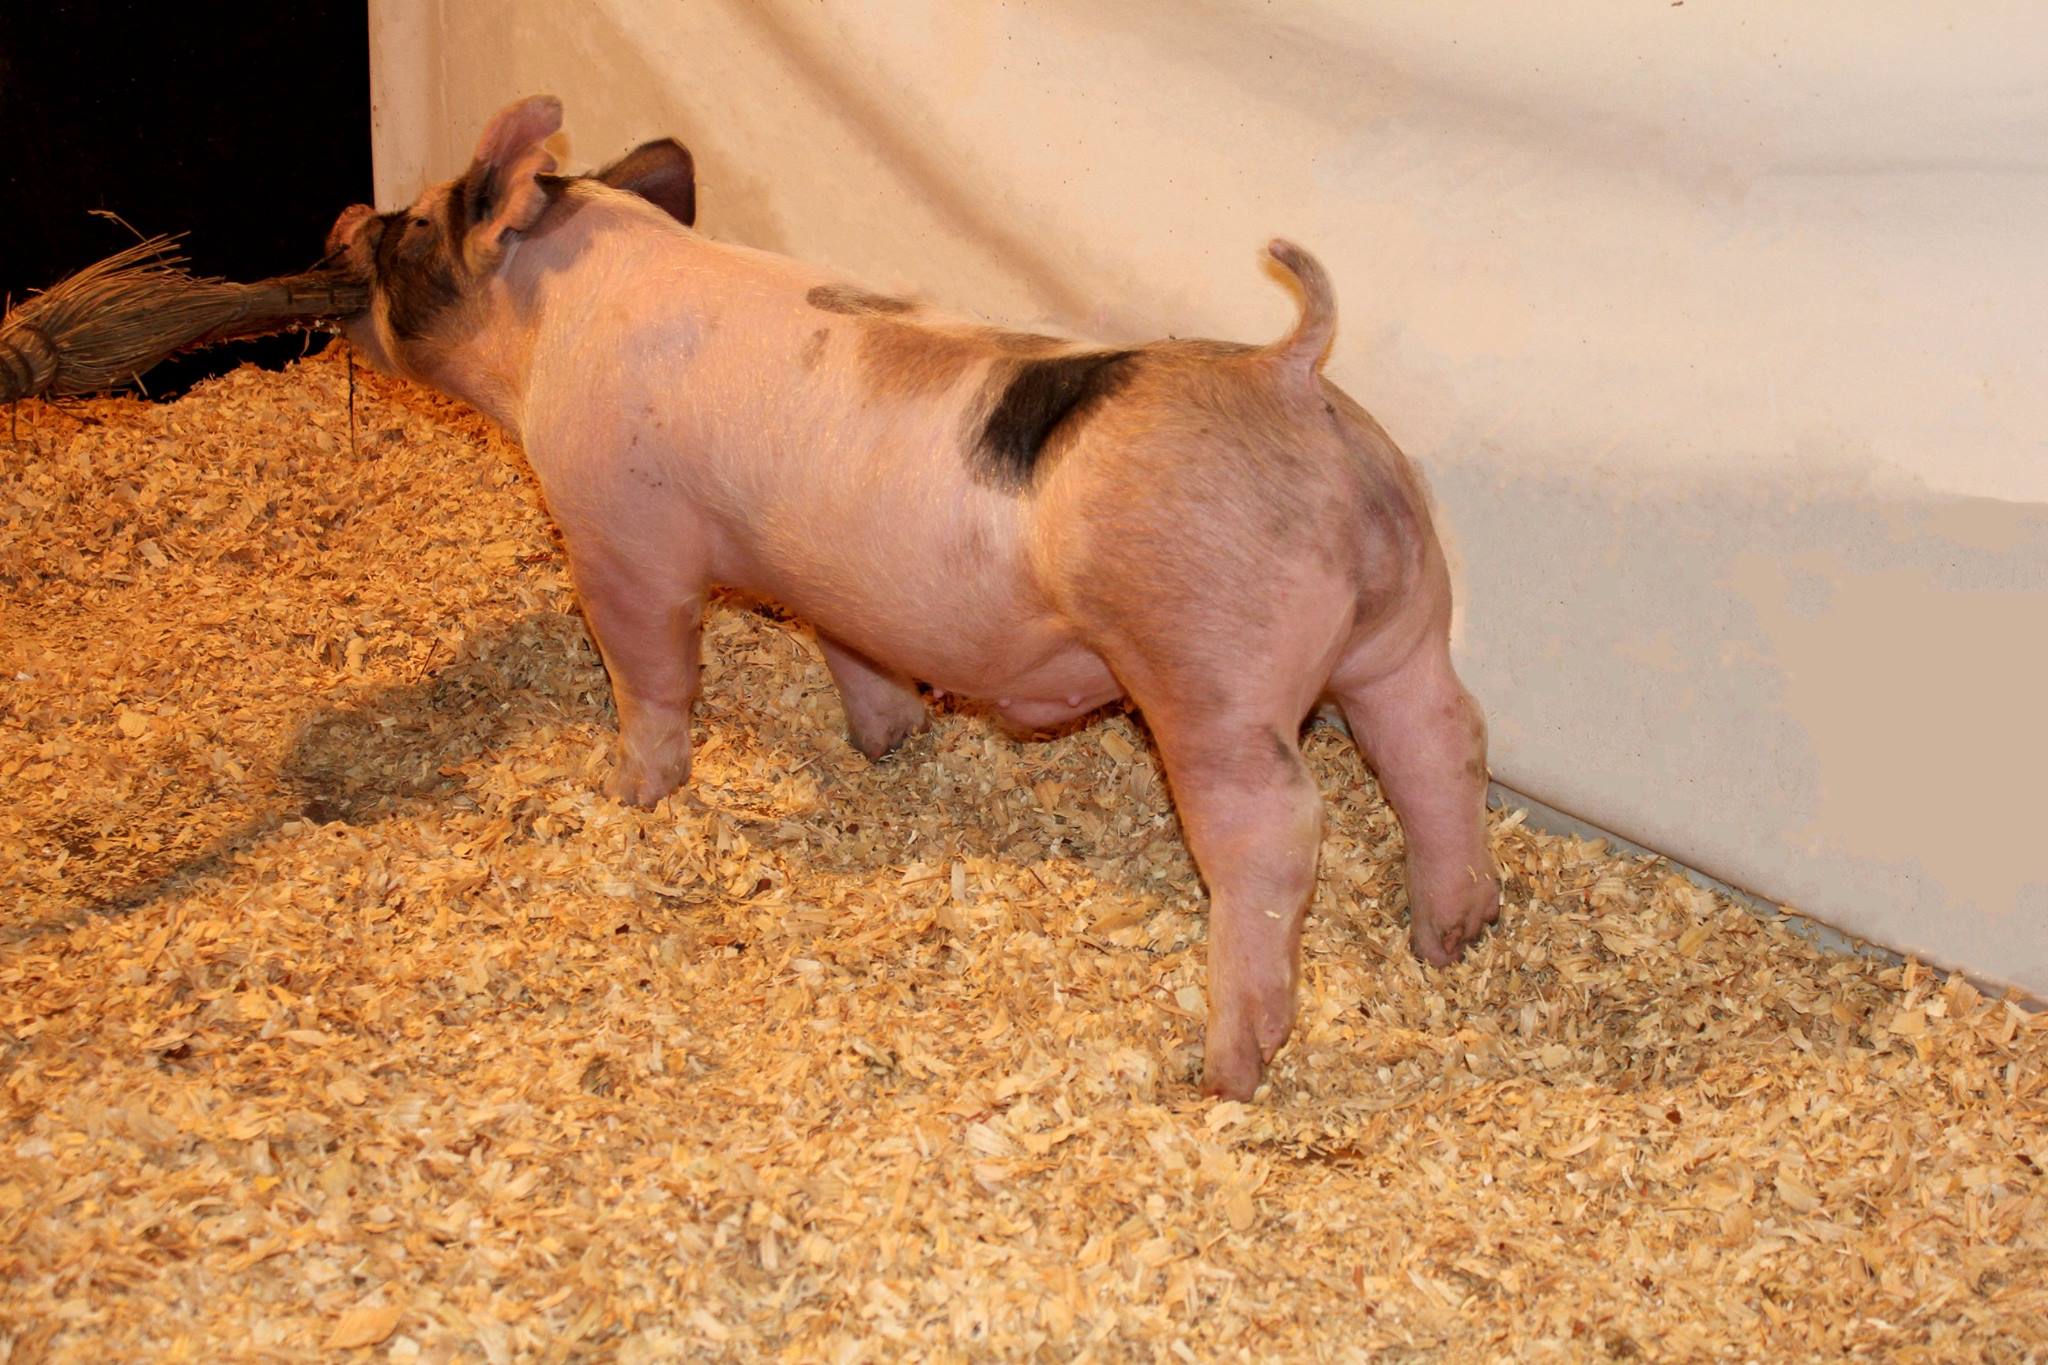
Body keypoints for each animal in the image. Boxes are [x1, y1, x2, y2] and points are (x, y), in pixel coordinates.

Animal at [328, 95, 1500, 1099]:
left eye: (415, 223)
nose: (344, 220)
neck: (552, 322)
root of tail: (1285, 374)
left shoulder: (622, 538)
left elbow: (648, 675)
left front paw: (631, 793)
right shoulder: (830, 577)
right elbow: (855, 651)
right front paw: (882, 744)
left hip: (1211, 669)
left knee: (1276, 828)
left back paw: (1227, 1070)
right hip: (1403, 621)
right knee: (1443, 741)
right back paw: (1457, 936)